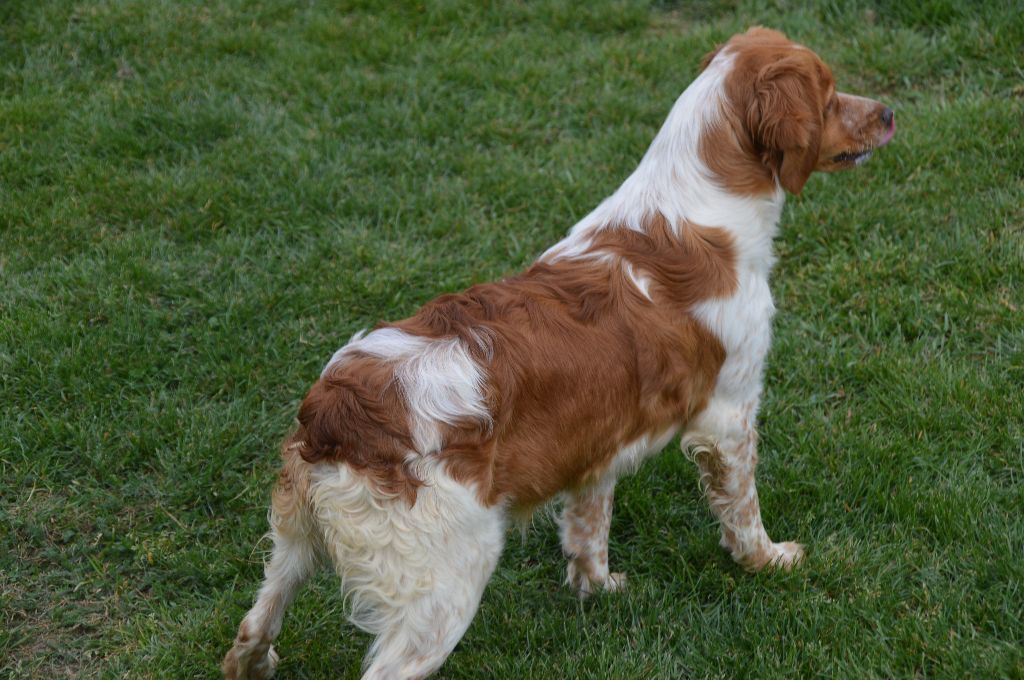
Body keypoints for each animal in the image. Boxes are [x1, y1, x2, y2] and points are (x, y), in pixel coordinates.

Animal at [226, 27, 897, 680]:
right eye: (830, 96)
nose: (890, 112)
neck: (701, 207)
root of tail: (335, 410)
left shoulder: (598, 440)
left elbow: (588, 527)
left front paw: (597, 588)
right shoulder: (730, 415)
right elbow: (743, 510)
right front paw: (770, 560)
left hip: (294, 544)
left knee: (251, 629)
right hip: (443, 589)